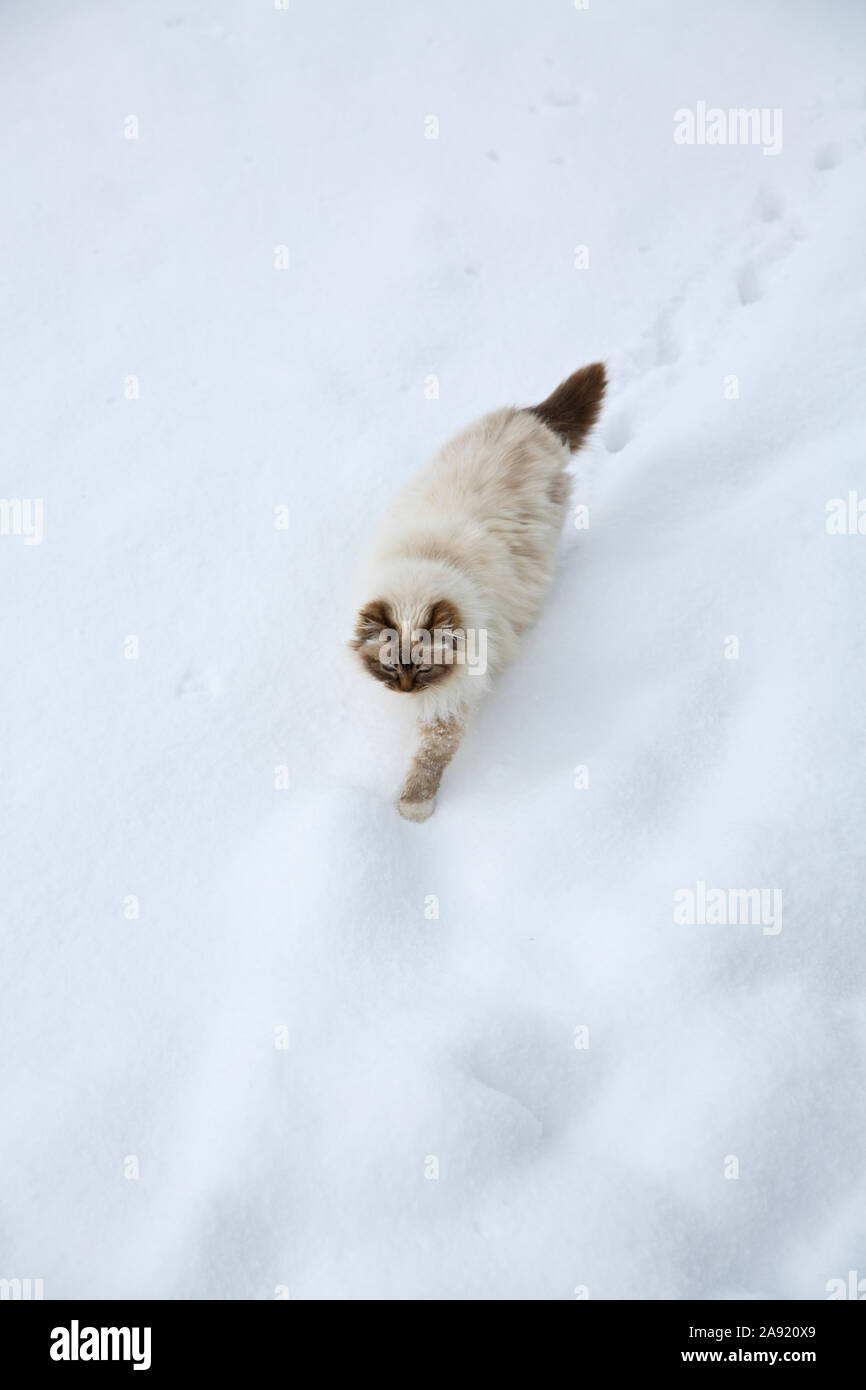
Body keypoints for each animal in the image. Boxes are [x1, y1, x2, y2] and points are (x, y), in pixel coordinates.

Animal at [348, 366, 606, 822]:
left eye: (425, 669)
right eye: (390, 667)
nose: (406, 691)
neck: (429, 560)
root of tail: (529, 419)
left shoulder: (450, 701)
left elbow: (429, 758)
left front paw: (414, 808)